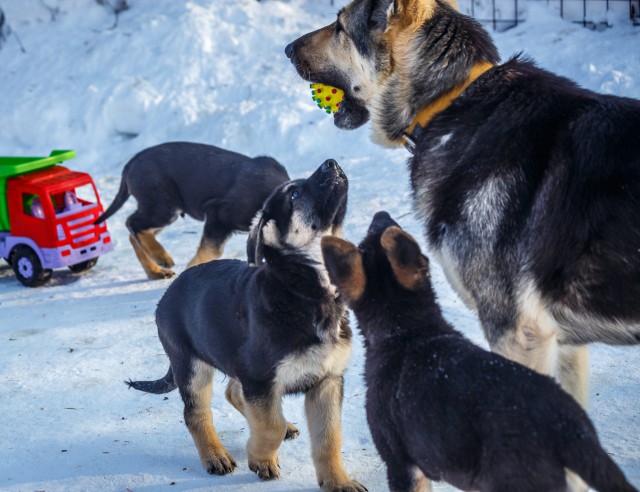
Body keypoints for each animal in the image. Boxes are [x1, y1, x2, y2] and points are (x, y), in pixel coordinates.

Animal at [95, 142, 290, 280]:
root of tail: (131, 163)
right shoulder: (217, 216)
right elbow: (211, 251)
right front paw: (191, 270)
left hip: (160, 209)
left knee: (135, 233)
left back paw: (155, 271)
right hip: (162, 206)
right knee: (132, 223)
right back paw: (161, 257)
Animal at [126, 161, 364, 492]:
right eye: (293, 194)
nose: (332, 163)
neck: (304, 289)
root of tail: (167, 294)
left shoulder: (327, 380)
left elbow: (329, 437)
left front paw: (338, 481)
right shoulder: (260, 378)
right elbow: (271, 425)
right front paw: (261, 458)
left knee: (234, 394)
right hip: (192, 364)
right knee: (196, 413)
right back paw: (215, 456)